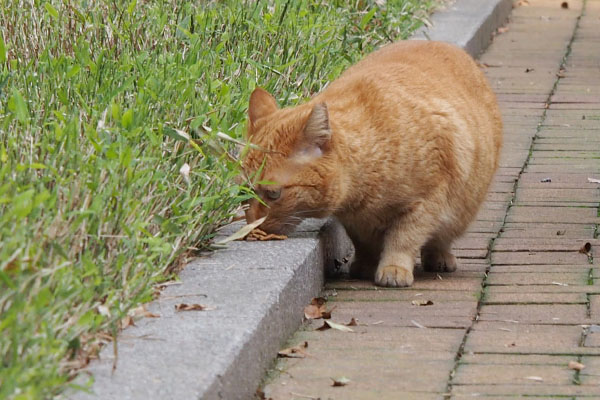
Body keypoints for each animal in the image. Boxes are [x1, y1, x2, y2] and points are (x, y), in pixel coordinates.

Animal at [241, 40, 500, 286]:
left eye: (273, 194)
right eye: (244, 192)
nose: (252, 225)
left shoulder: (425, 203)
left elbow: (403, 240)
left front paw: (394, 268)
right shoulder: (354, 220)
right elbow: (364, 243)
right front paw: (365, 265)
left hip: (461, 210)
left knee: (441, 238)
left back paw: (439, 258)